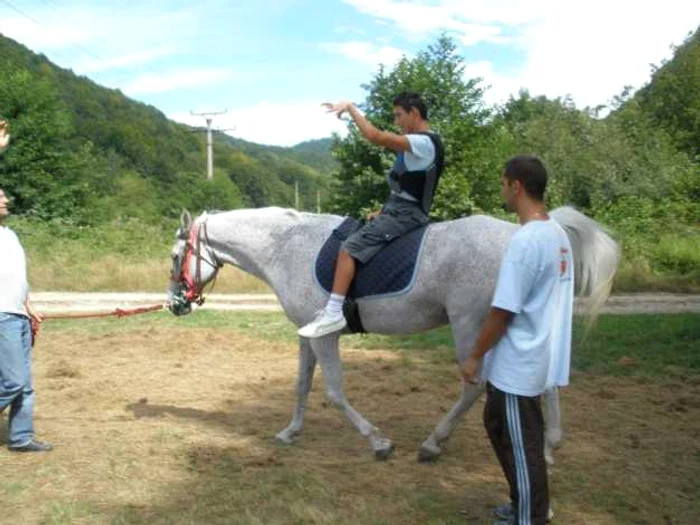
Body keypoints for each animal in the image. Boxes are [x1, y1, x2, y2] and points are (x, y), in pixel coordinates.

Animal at [168, 207, 616, 460]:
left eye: (175, 257)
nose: (175, 303)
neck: (287, 248)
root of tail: (523, 235)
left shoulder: (324, 337)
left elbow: (334, 392)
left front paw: (378, 442)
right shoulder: (306, 334)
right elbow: (301, 385)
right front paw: (290, 432)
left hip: (471, 326)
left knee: (475, 386)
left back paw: (435, 442)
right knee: (544, 382)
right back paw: (550, 447)